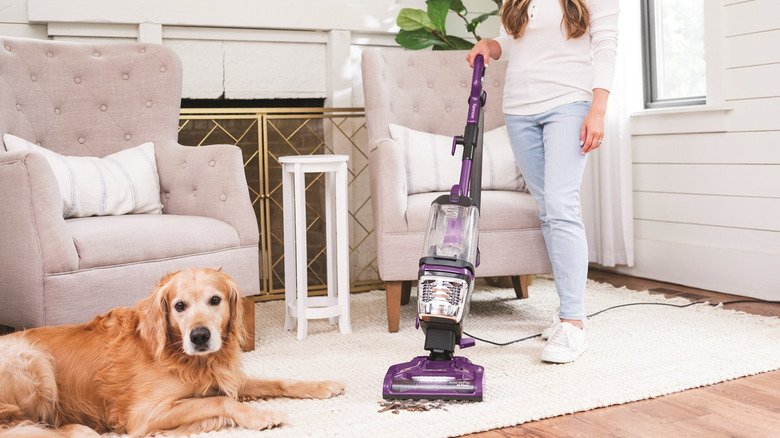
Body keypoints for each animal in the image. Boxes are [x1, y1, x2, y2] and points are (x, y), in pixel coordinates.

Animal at [0, 268, 344, 436]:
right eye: (180, 306)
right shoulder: (145, 414)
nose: (200, 336)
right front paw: (262, 415)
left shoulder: (225, 377)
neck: (184, 356)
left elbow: (277, 381)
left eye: (215, 300)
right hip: (32, 358)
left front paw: (323, 385)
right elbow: (220, 402)